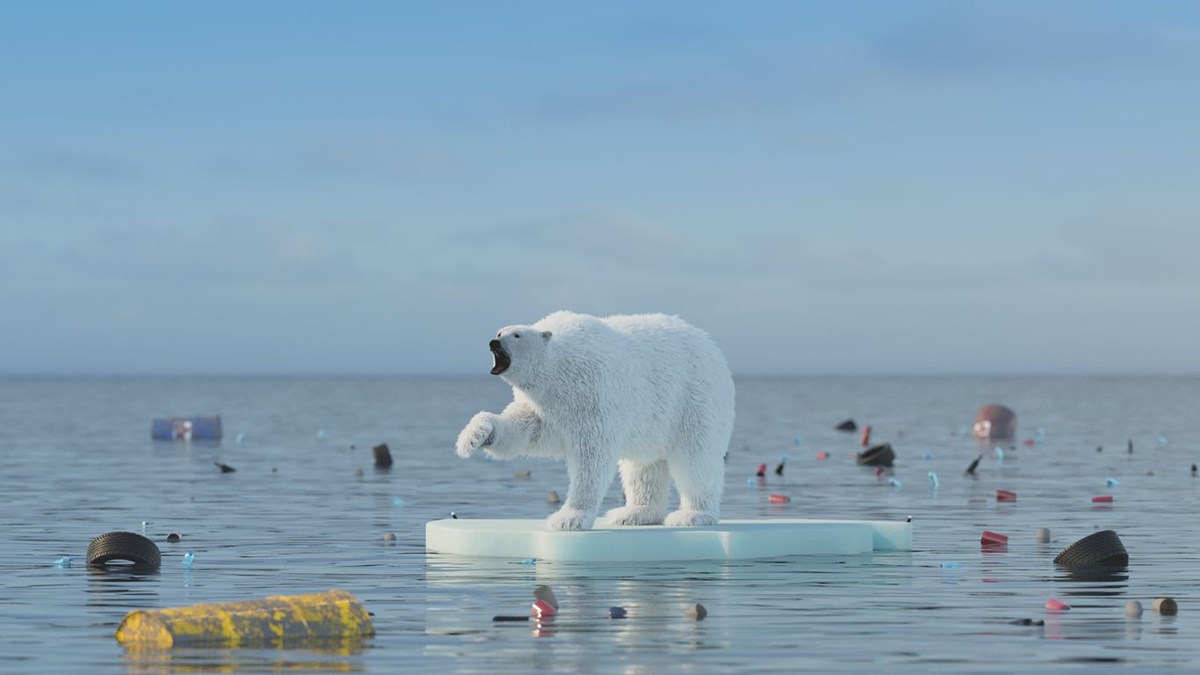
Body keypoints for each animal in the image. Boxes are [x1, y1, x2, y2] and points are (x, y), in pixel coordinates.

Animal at [451, 309, 729, 530]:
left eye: (516, 335)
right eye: (500, 331)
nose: (494, 342)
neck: (559, 365)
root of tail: (713, 346)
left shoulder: (591, 393)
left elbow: (591, 457)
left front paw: (568, 518)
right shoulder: (543, 404)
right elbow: (523, 430)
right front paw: (473, 437)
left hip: (695, 398)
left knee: (695, 459)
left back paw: (692, 515)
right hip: (653, 419)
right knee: (643, 467)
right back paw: (634, 513)